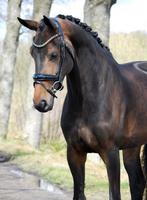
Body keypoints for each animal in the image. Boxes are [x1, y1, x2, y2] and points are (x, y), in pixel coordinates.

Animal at [17, 14, 147, 200]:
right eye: (32, 53)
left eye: (53, 54)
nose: (40, 102)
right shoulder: (75, 152)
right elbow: (79, 192)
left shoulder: (111, 153)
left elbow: (114, 194)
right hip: (132, 147)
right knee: (137, 182)